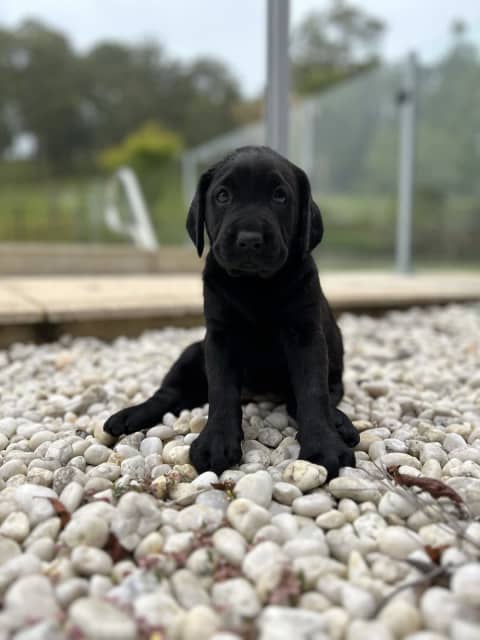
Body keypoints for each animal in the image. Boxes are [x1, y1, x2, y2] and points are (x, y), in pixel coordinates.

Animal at [105, 144, 360, 476]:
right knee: (169, 394)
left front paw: (324, 443)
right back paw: (130, 415)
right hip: (193, 351)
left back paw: (339, 422)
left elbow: (311, 391)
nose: (249, 240)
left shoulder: (306, 336)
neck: (255, 286)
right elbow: (222, 390)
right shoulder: (219, 337)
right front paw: (216, 441)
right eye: (223, 195)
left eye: (280, 196)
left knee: (304, 396)